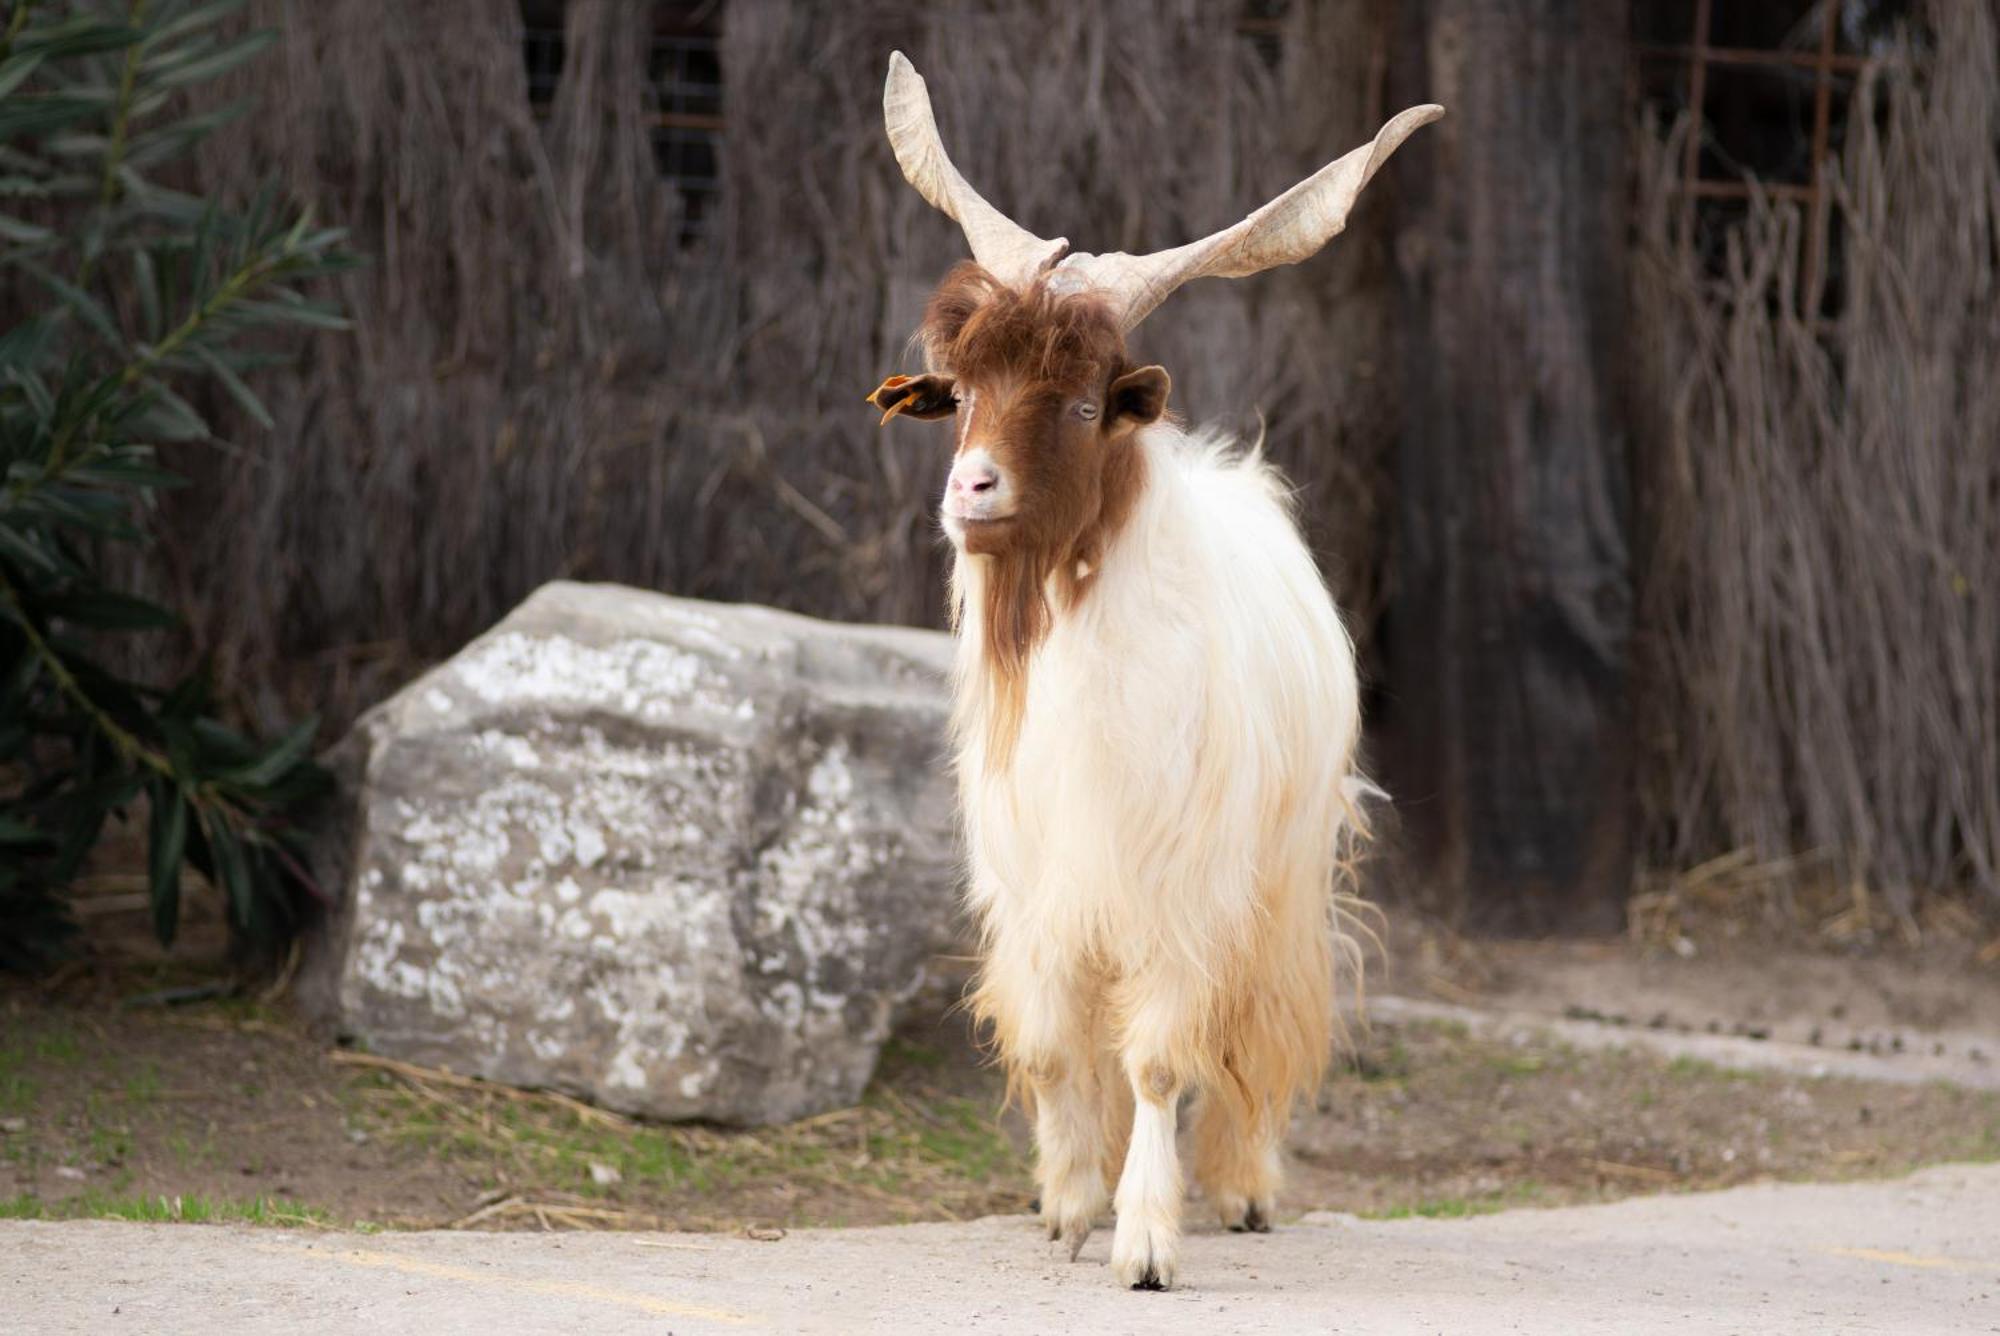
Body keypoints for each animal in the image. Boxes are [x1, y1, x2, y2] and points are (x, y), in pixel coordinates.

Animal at [868, 54, 1448, 1296]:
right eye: (961, 391)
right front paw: (1066, 1202)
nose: (970, 490)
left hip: (1277, 877)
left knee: (1255, 1025)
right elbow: (1053, 1048)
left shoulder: (1178, 891)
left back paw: (1240, 1185)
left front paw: (1142, 1238)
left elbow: (1155, 1061)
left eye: (1085, 403)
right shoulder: (1034, 889)